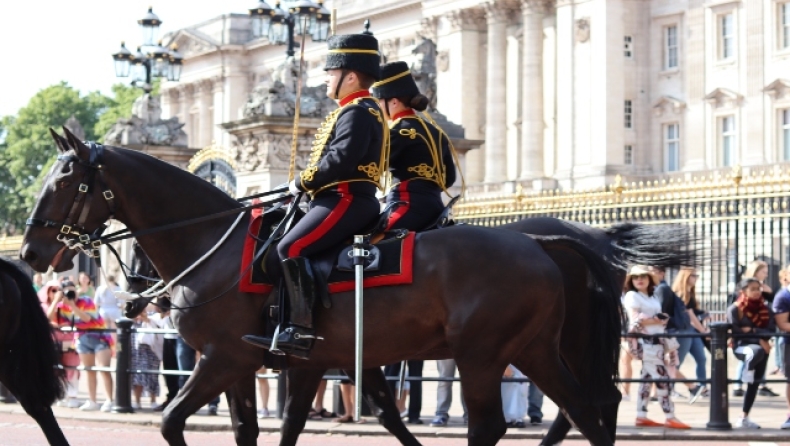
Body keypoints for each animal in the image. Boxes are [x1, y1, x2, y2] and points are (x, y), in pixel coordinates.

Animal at [20, 127, 624, 444]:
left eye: (67, 183)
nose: (30, 254)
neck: (215, 245)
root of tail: (540, 242)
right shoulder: (280, 361)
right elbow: (266, 428)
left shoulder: (223, 358)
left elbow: (171, 420)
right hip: (535, 349)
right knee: (584, 410)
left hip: (482, 355)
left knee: (497, 423)